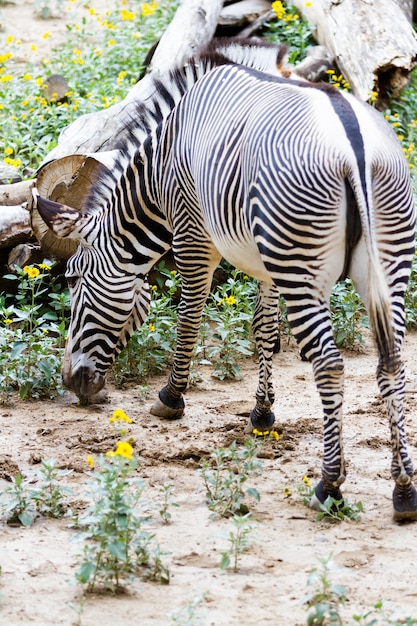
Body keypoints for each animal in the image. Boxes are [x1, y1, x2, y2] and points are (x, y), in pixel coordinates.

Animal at [34, 44, 416, 520]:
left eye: (73, 279)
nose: (70, 382)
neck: (161, 164)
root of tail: (354, 144)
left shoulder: (192, 235)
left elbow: (189, 318)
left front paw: (171, 397)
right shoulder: (267, 260)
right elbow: (264, 330)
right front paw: (262, 414)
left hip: (302, 267)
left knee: (329, 364)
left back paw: (329, 485)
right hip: (385, 263)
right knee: (393, 363)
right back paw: (403, 489)